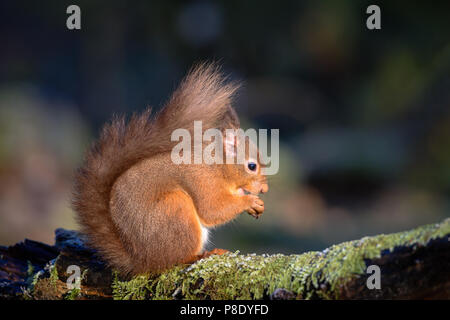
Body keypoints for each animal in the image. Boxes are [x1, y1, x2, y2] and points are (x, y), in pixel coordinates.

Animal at [73, 63, 268, 276]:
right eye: (252, 166)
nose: (264, 189)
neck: (218, 166)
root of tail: (143, 261)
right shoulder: (202, 180)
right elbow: (213, 209)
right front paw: (249, 201)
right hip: (176, 209)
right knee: (176, 260)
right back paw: (205, 254)